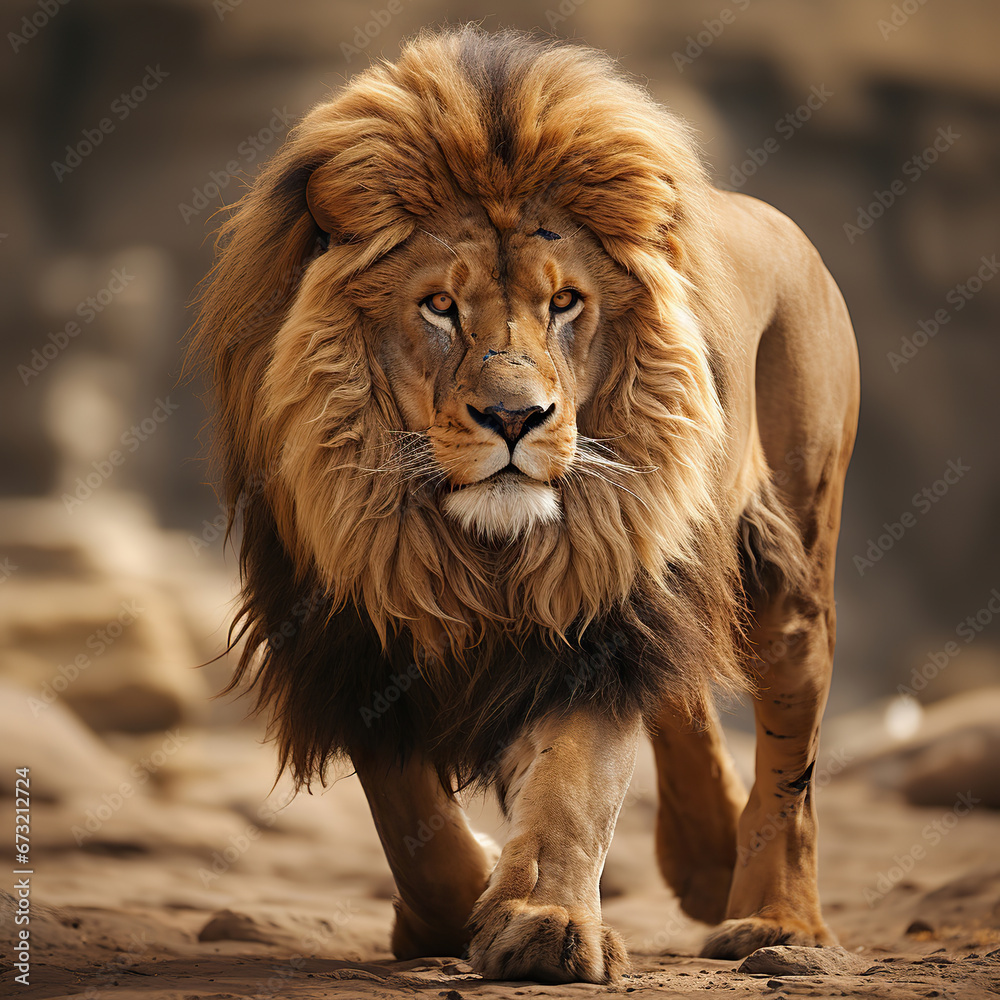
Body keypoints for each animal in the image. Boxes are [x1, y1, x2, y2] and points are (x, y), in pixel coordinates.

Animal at [191, 27, 859, 984]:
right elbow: (408, 816)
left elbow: (578, 785)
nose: (516, 418)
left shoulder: (599, 612)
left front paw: (543, 925)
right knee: (688, 699)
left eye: (565, 302)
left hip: (788, 557)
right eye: (440, 305)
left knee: (790, 742)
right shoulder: (348, 621)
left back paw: (777, 921)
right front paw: (447, 910)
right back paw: (705, 866)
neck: (476, 547)